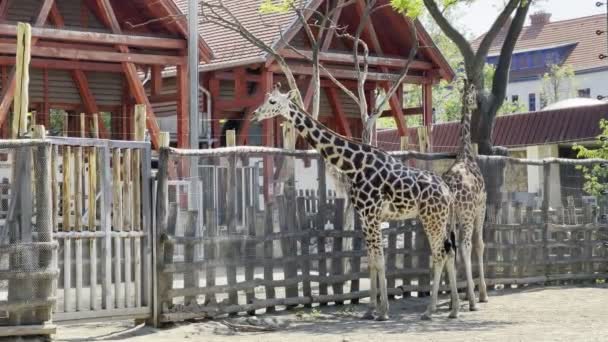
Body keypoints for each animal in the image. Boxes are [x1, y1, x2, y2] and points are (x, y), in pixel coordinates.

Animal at [254, 87, 458, 320]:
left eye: (272, 101)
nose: (255, 114)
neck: (354, 165)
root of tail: (448, 193)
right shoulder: (366, 217)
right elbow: (371, 261)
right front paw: (370, 310)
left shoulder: (371, 215)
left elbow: (379, 261)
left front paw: (384, 311)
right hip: (442, 220)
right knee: (450, 252)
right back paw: (453, 309)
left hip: (432, 219)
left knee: (440, 254)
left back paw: (430, 310)